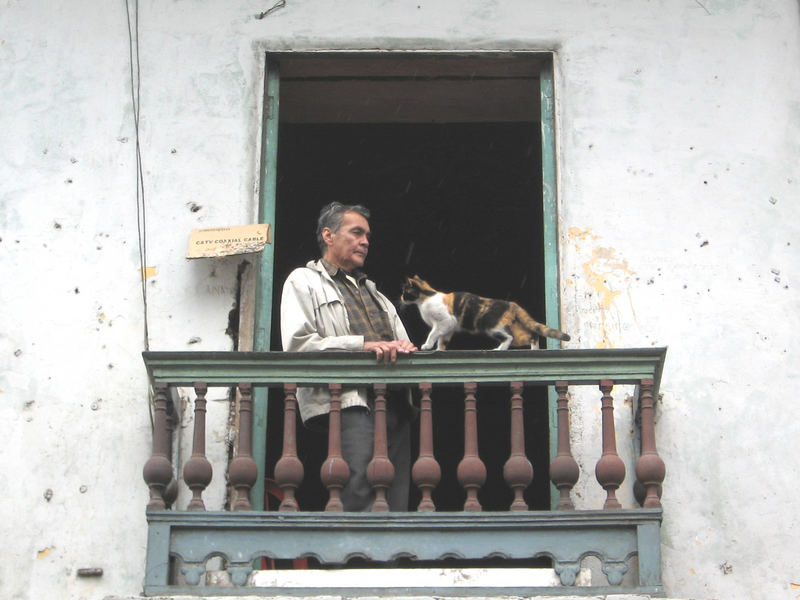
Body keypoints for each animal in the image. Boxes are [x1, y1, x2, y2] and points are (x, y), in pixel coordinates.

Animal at [400, 276, 568, 352]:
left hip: (492, 327)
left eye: (404, 292)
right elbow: (443, 340)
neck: (426, 297)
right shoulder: (448, 328)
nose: (400, 297)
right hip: (513, 328)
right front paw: (439, 350)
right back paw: (533, 349)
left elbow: (433, 334)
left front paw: (427, 345)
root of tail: (511, 303)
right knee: (532, 334)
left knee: (510, 337)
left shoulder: (445, 321)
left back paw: (499, 349)